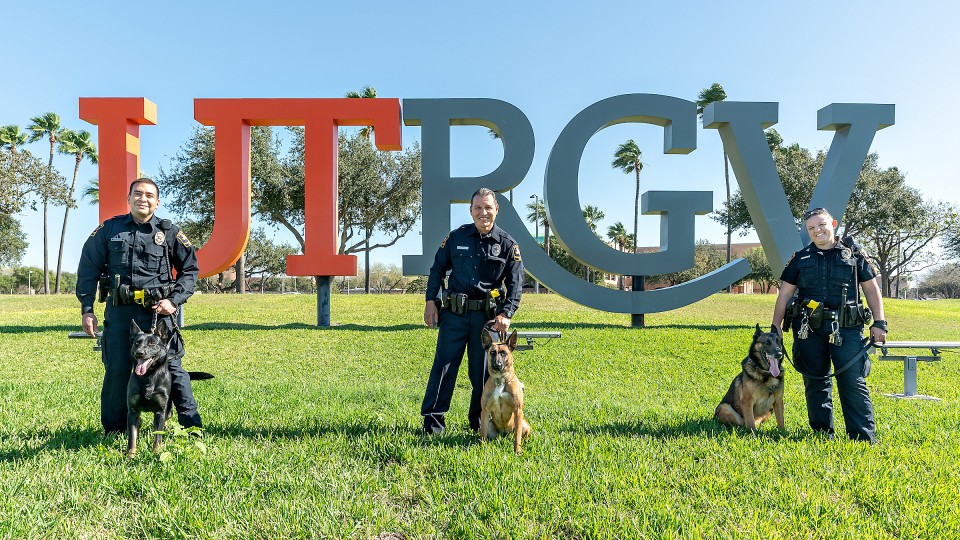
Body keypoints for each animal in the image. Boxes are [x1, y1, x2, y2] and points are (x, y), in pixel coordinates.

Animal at [480, 326, 532, 454]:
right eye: (492, 353)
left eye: (504, 353)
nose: (497, 365)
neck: (501, 380)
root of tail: (505, 434)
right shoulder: (485, 411)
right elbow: (483, 434)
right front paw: (481, 448)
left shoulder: (518, 410)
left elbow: (517, 436)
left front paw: (517, 450)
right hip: (489, 424)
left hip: (524, 424)